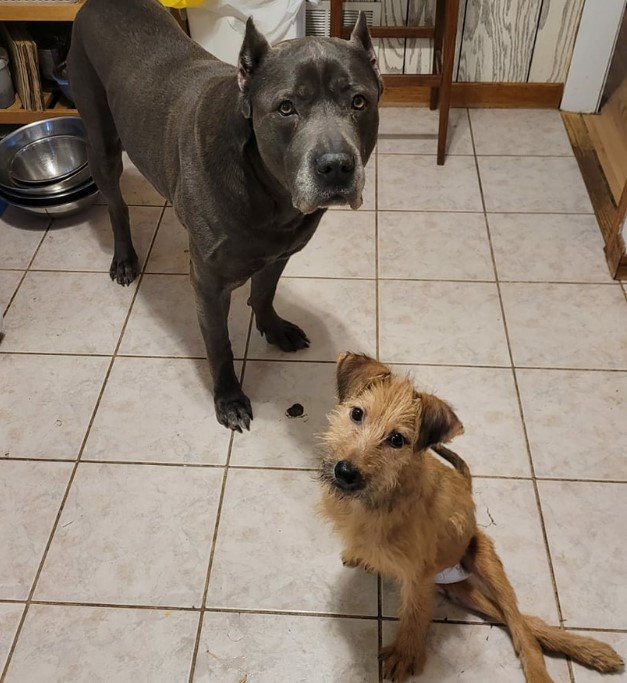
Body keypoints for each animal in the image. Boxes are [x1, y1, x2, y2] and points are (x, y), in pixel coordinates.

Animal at [68, 0, 382, 430]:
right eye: (286, 108)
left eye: (359, 102)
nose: (336, 166)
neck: (272, 195)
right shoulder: (209, 286)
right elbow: (220, 345)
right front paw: (229, 399)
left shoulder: (280, 254)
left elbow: (264, 293)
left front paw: (273, 328)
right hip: (100, 140)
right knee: (116, 204)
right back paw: (124, 259)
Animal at [322, 356, 624, 680]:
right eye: (356, 414)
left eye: (397, 439)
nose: (346, 472)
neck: (383, 495)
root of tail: (467, 488)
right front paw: (360, 554)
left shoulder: (419, 575)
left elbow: (414, 614)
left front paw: (405, 653)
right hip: (457, 588)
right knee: (516, 618)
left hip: (486, 560)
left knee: (520, 624)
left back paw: (558, 663)